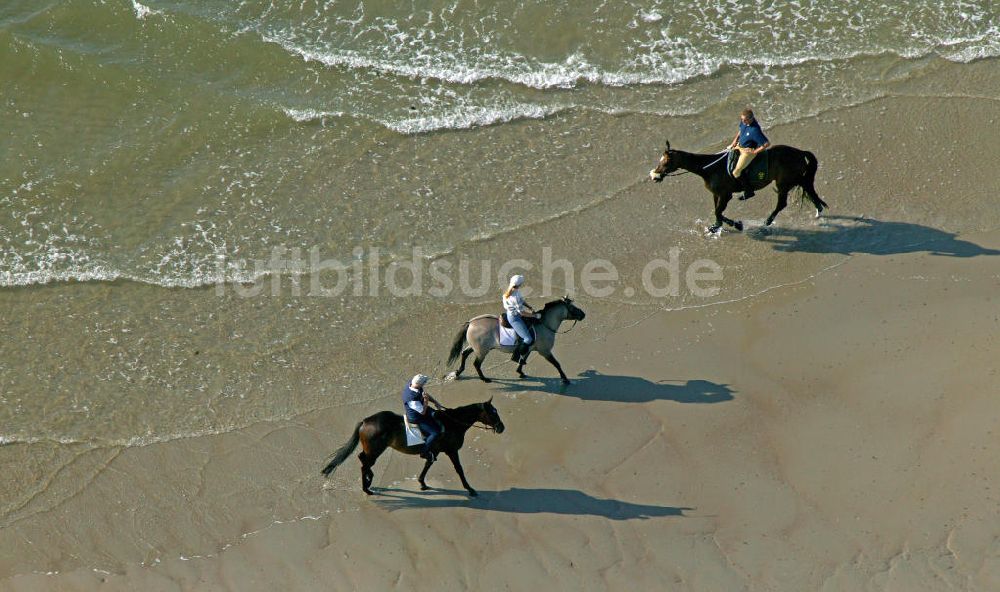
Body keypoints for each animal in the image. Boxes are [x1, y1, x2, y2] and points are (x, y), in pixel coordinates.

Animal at [322, 396, 504, 498]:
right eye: (492, 413)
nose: (502, 427)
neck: (452, 423)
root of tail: (366, 421)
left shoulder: (434, 450)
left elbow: (428, 464)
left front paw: (422, 482)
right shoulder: (451, 451)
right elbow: (459, 469)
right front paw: (470, 489)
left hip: (372, 450)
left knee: (362, 459)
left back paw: (369, 480)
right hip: (376, 450)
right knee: (365, 464)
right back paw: (366, 487)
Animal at [448, 296, 584, 384]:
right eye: (572, 307)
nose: (583, 314)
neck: (544, 324)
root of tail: (471, 323)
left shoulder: (529, 347)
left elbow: (522, 360)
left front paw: (520, 372)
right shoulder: (545, 352)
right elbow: (557, 364)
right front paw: (565, 379)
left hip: (475, 347)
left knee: (464, 353)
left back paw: (458, 372)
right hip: (482, 351)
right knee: (476, 364)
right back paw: (484, 379)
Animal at [648, 141, 828, 234]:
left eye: (666, 162)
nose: (654, 176)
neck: (710, 168)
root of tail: (800, 152)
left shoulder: (725, 195)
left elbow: (718, 211)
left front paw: (734, 225)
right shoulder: (716, 194)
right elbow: (717, 212)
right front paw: (718, 226)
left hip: (783, 183)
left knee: (783, 203)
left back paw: (767, 221)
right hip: (795, 180)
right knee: (809, 190)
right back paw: (818, 211)